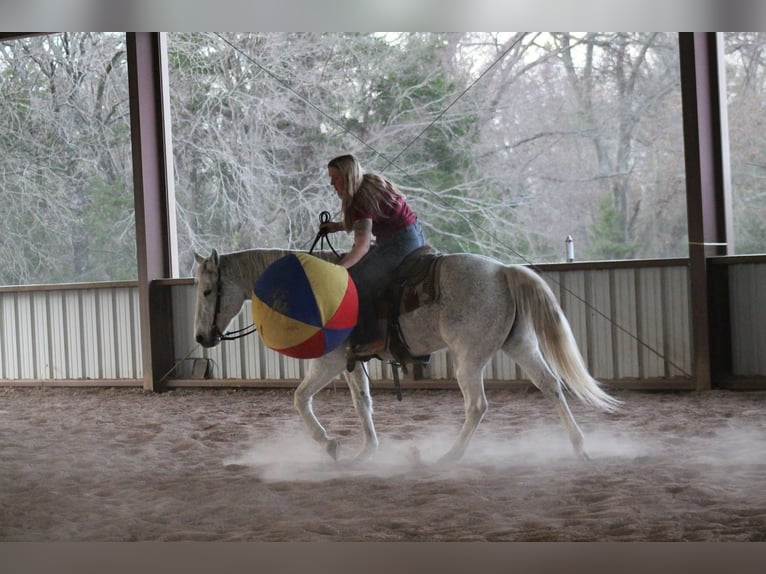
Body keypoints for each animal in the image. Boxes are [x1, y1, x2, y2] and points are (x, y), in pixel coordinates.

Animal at [192, 247, 619, 465]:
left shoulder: (330, 362)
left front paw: (329, 445)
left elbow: (300, 399)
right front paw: (366, 451)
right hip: (520, 345)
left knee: (477, 405)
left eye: (207, 290)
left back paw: (449, 456)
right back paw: (579, 447)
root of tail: (502, 271)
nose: (201, 337)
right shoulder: (351, 364)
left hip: (469, 357)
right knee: (551, 386)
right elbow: (362, 403)